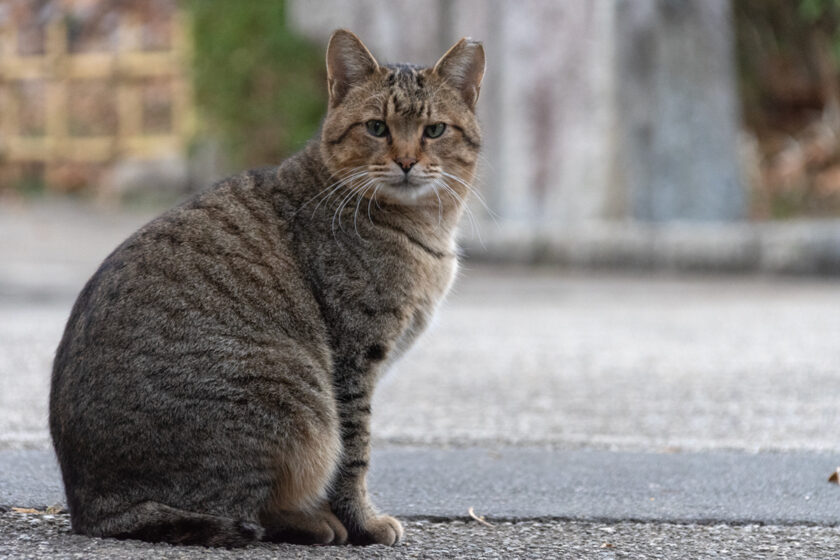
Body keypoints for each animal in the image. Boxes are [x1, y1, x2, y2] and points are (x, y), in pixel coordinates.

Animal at [49, 29, 482, 548]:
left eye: (434, 131)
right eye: (377, 127)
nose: (406, 161)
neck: (425, 229)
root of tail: (92, 510)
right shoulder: (353, 362)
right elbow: (354, 456)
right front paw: (365, 523)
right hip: (296, 396)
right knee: (250, 514)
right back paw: (317, 524)